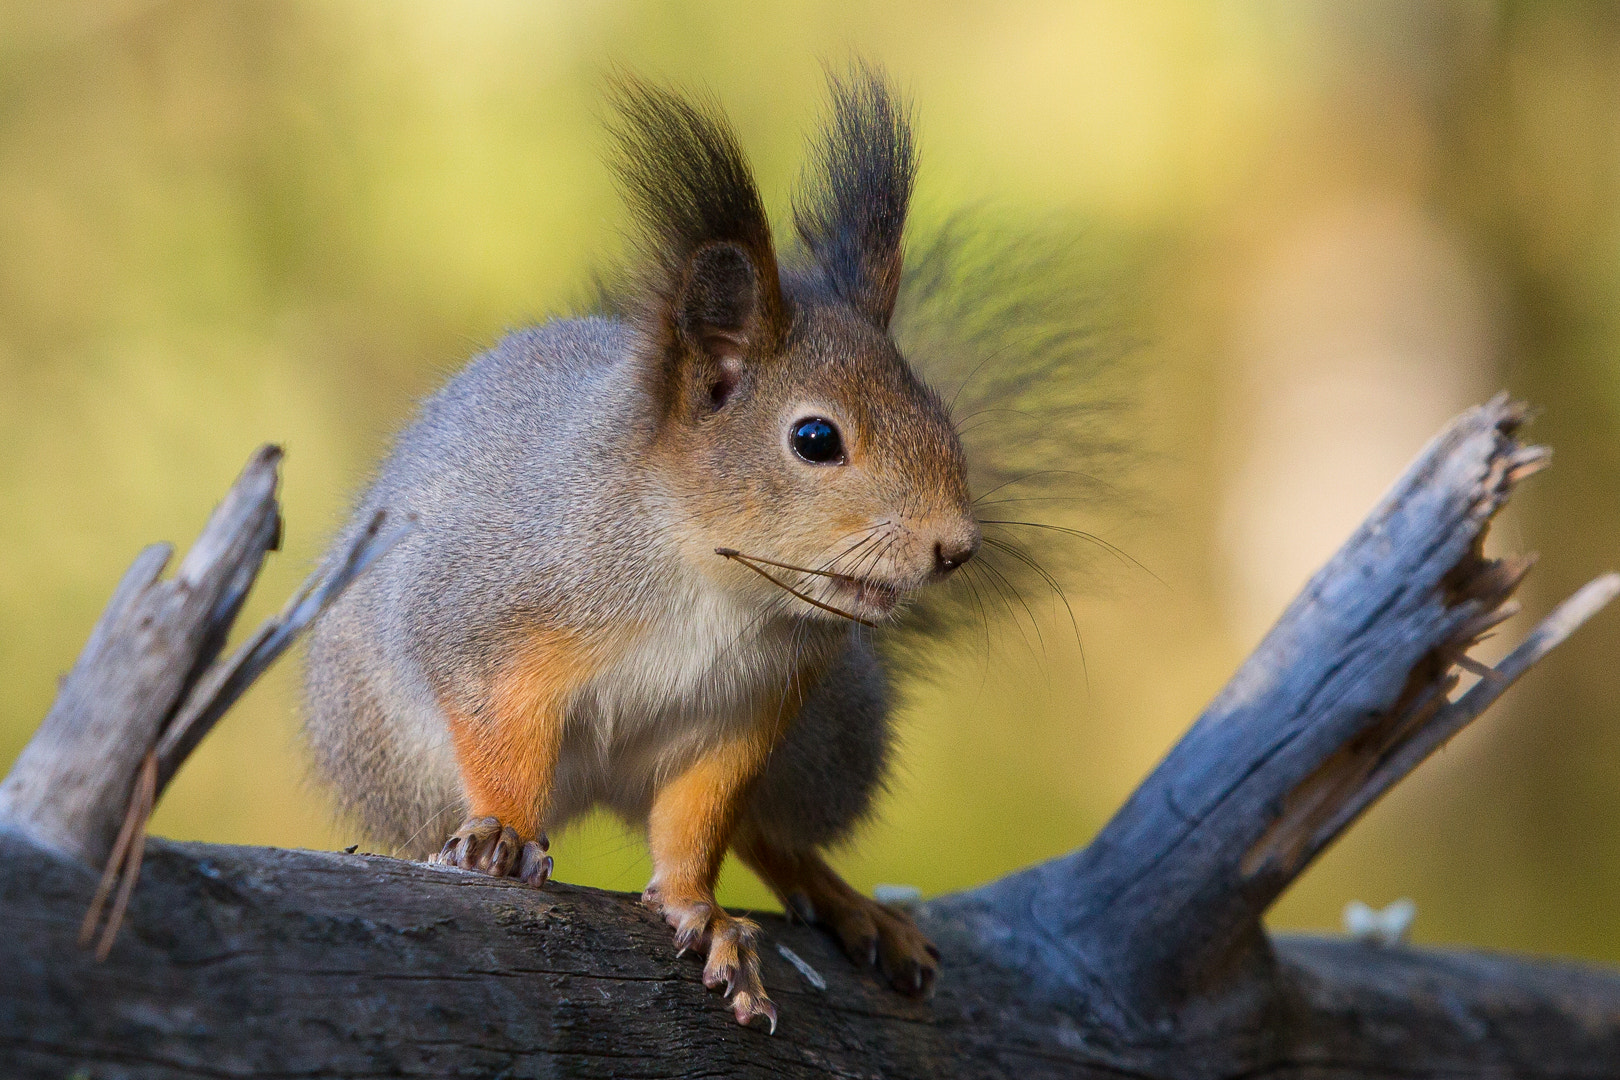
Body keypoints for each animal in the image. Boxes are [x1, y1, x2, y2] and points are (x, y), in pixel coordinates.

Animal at [302, 65, 981, 1032]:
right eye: (815, 439)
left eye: (937, 411)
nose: (955, 547)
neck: (707, 576)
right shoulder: (489, 619)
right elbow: (496, 735)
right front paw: (504, 831)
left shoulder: (742, 717)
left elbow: (697, 826)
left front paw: (704, 914)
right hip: (387, 750)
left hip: (830, 731)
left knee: (772, 831)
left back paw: (850, 906)